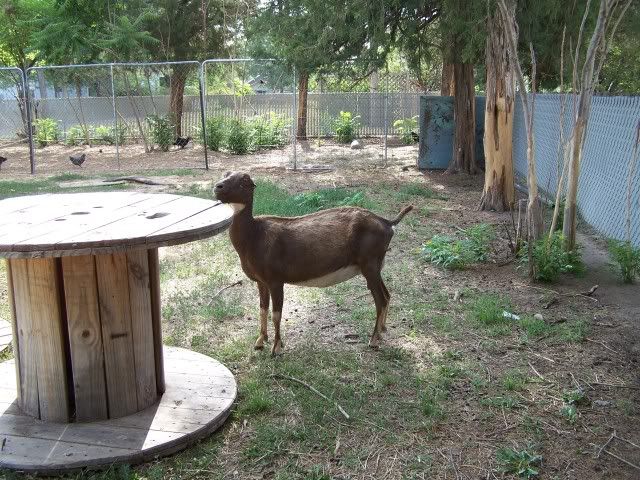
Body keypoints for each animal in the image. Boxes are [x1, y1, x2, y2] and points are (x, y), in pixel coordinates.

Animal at [214, 172, 413, 356]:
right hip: (376, 265)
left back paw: (373, 341)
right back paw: (382, 332)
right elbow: (263, 309)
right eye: (225, 174)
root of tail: (388, 223)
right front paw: (260, 341)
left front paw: (276, 348)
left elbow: (276, 315)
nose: (217, 187)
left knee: (380, 299)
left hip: (369, 264)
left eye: (244, 180)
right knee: (387, 295)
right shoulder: (261, 281)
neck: (254, 236)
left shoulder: (276, 280)